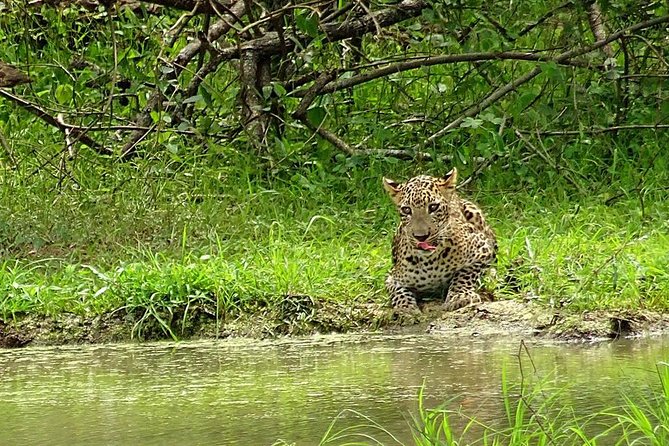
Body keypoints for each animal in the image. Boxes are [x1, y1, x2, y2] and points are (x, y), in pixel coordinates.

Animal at [382, 168, 497, 312]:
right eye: (406, 210)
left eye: (433, 207)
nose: (421, 236)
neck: (429, 262)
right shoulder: (392, 277)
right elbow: (398, 292)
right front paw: (405, 308)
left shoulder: (482, 248)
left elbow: (463, 275)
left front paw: (460, 296)